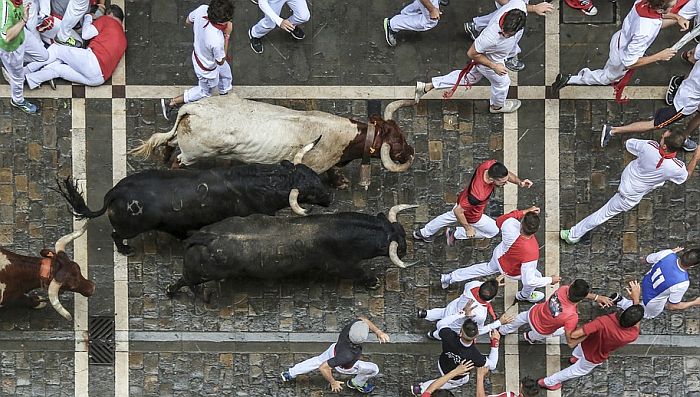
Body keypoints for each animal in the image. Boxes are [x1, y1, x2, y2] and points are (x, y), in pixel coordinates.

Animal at [57, 160, 330, 255]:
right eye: (311, 190)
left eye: (314, 175)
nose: (329, 197)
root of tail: (116, 192)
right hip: (129, 228)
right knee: (116, 235)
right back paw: (126, 250)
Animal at [131, 96, 416, 189]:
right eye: (398, 143)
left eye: (402, 134)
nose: (411, 151)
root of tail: (193, 108)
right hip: (192, 154)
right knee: (178, 162)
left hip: (182, 141)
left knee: (169, 144)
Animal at [165, 204, 416, 294]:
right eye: (399, 244)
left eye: (401, 231)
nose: (405, 250)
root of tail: (205, 237)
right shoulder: (341, 266)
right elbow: (360, 273)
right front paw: (373, 282)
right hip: (200, 273)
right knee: (185, 280)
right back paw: (171, 290)